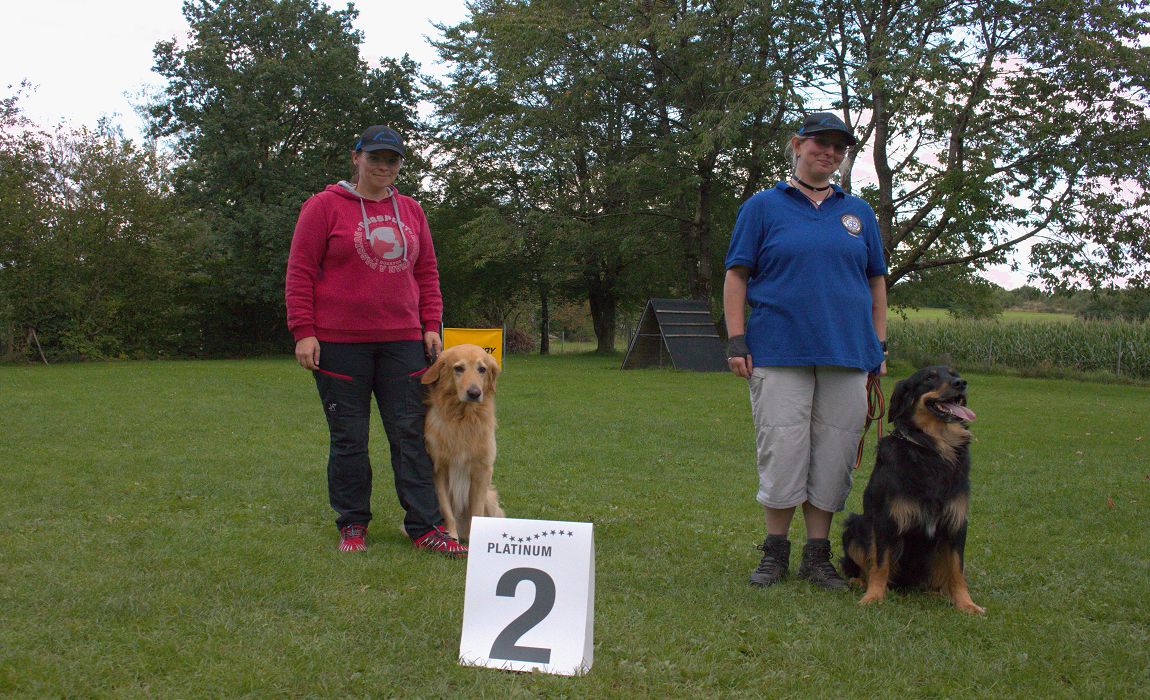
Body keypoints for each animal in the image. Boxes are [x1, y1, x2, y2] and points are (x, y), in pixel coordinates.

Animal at [841, 365, 984, 611]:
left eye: (954, 374)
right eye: (930, 378)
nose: (961, 383)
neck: (931, 450)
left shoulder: (956, 521)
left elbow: (957, 569)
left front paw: (966, 604)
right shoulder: (885, 519)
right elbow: (880, 563)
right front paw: (874, 597)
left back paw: (937, 593)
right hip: (854, 525)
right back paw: (859, 581)